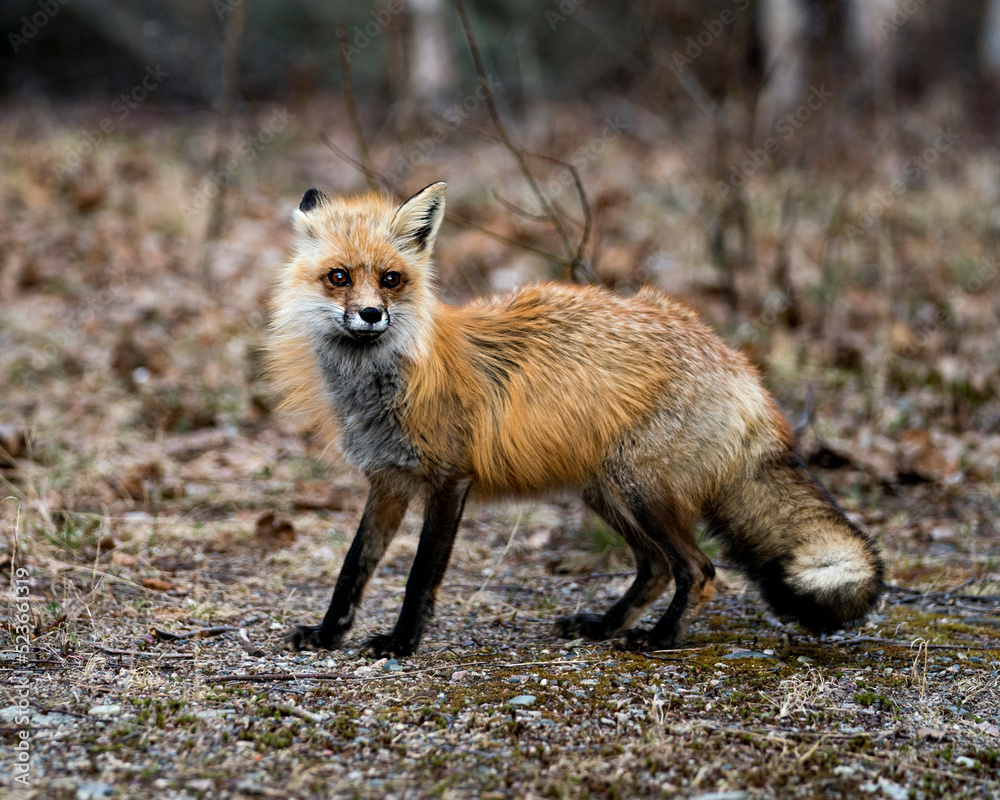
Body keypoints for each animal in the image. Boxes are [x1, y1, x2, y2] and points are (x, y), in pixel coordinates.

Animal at [266, 181, 884, 656]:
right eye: (339, 277)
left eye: (391, 279)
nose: (372, 314)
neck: (384, 384)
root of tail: (738, 363)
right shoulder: (389, 482)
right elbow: (354, 567)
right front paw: (327, 635)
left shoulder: (448, 479)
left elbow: (421, 577)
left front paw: (401, 643)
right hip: (606, 492)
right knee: (656, 568)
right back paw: (605, 626)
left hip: (641, 490)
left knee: (700, 570)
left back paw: (657, 640)